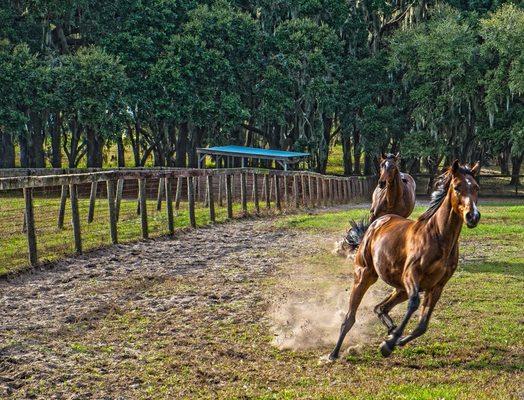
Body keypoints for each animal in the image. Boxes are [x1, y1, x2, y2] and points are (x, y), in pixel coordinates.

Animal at [330, 161, 482, 360]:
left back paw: (391, 329)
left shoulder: (437, 286)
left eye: (476, 188)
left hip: (400, 288)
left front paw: (395, 341)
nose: (473, 216)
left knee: (380, 308)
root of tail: (376, 223)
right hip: (365, 275)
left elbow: (422, 326)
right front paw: (388, 345)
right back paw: (334, 353)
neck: (438, 237)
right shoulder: (412, 275)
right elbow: (414, 304)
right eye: (457, 187)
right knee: (350, 318)